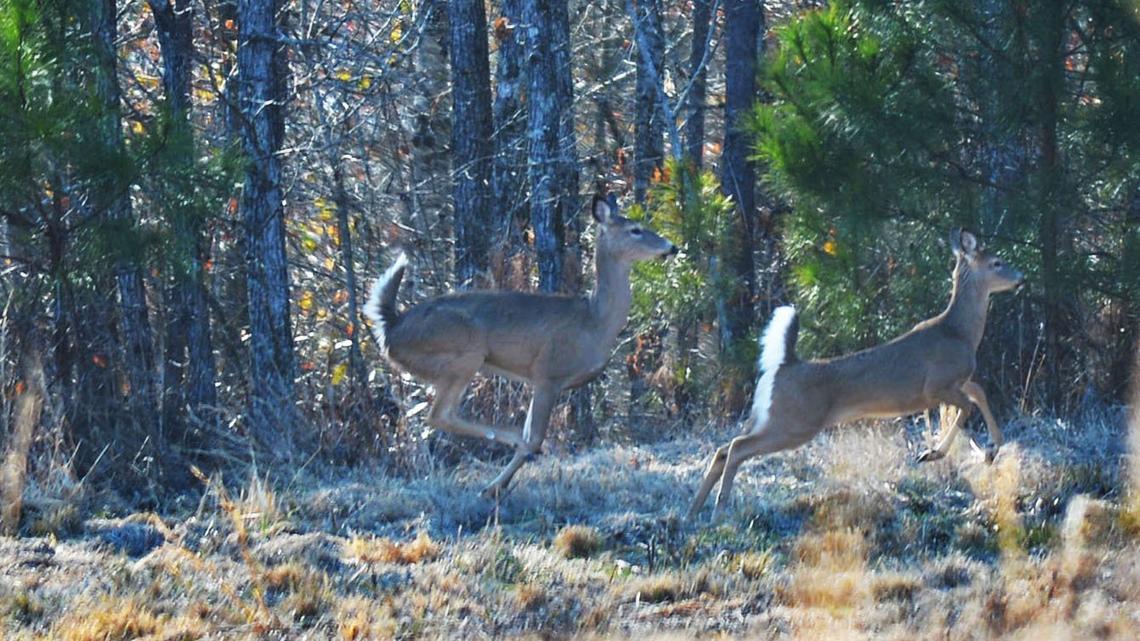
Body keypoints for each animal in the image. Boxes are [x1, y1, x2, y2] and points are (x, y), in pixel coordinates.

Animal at [364, 194, 678, 498]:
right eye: (635, 229)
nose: (672, 246)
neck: (595, 322)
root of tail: (392, 327)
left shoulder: (537, 379)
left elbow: (532, 434)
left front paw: (498, 486)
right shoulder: (549, 372)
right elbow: (534, 437)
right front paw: (494, 485)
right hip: (463, 351)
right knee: (440, 414)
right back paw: (509, 441)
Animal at [688, 229, 1024, 521]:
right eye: (997, 262)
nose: (1020, 278)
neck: (960, 333)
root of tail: (783, 365)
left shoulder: (959, 380)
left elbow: (979, 391)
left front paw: (992, 449)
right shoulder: (935, 385)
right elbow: (967, 405)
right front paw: (933, 453)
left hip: (764, 415)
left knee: (723, 448)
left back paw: (694, 511)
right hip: (794, 422)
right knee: (736, 447)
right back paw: (718, 510)